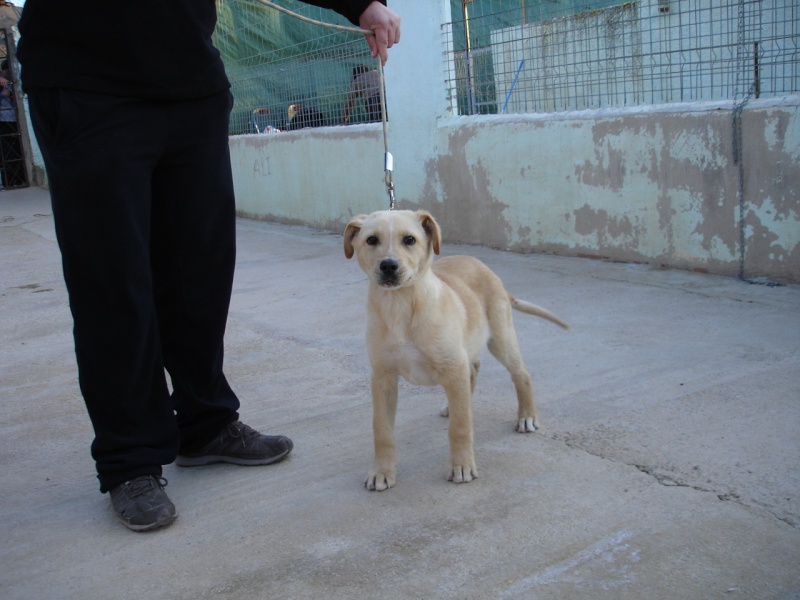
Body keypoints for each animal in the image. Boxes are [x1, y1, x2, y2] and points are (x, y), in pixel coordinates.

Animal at [344, 209, 568, 490]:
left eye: (409, 240)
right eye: (372, 240)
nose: (388, 266)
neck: (400, 305)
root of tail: (487, 269)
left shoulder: (452, 367)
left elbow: (460, 428)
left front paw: (462, 467)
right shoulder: (382, 377)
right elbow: (381, 430)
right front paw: (382, 472)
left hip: (500, 339)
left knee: (521, 374)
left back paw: (526, 416)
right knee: (473, 369)